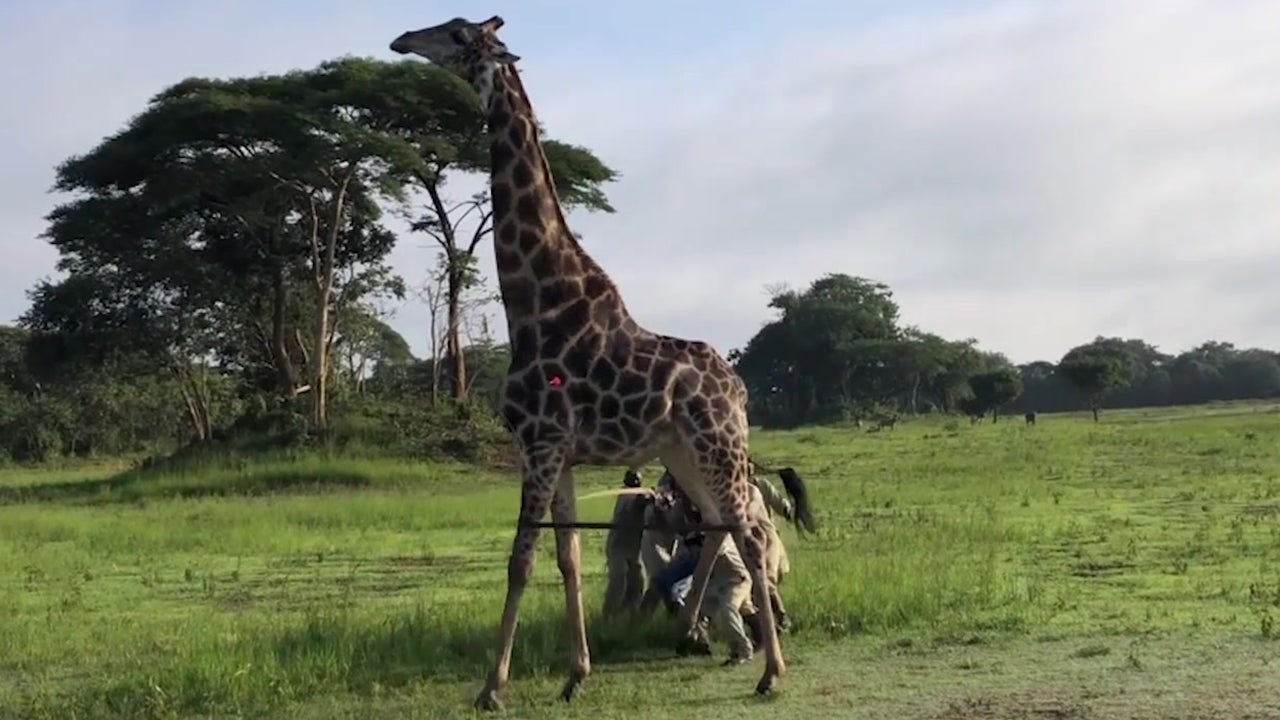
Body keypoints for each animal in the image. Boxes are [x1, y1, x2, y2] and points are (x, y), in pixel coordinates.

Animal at [390, 16, 786, 710]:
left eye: (458, 33)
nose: (402, 39)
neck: (536, 306)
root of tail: (738, 387)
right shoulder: (560, 452)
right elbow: (567, 555)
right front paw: (576, 674)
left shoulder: (540, 441)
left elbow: (521, 558)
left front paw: (491, 688)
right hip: (683, 450)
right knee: (719, 525)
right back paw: (692, 632)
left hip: (718, 444)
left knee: (752, 531)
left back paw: (770, 670)